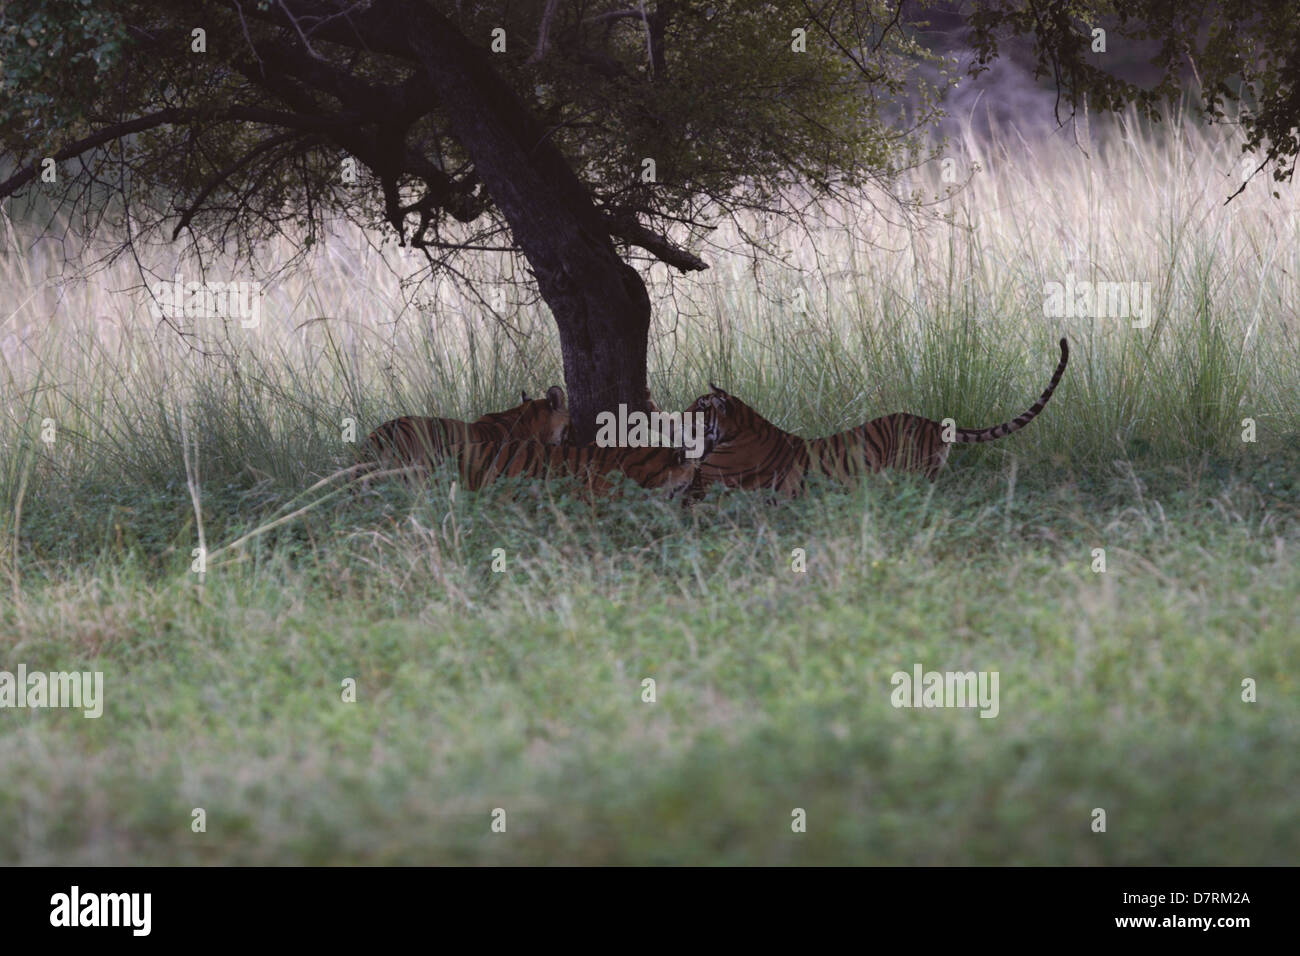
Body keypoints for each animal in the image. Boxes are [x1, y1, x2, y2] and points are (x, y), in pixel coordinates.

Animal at [686, 340, 1071, 496]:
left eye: (698, 407)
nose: (678, 414)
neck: (735, 430)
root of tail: (933, 422)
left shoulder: (706, 483)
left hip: (914, 471)